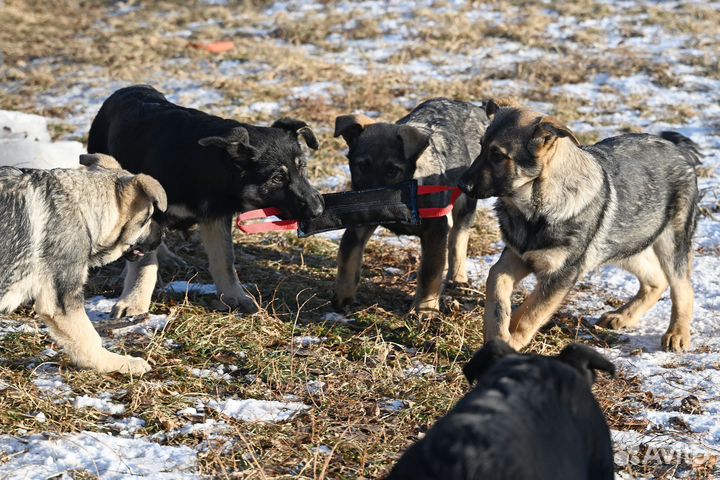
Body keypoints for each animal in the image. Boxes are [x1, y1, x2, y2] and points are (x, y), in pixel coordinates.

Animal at [0, 154, 166, 376]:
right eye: (147, 218)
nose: (162, 235)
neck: (82, 206)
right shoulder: (61, 299)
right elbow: (90, 339)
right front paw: (118, 363)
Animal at [458, 98, 700, 352]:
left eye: (497, 155)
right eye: (481, 146)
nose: (461, 185)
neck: (535, 207)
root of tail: (679, 150)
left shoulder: (562, 274)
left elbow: (531, 312)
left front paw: (512, 340)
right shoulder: (515, 257)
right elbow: (496, 287)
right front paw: (497, 332)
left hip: (671, 242)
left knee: (683, 288)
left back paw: (677, 333)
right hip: (624, 244)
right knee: (656, 280)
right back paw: (623, 316)